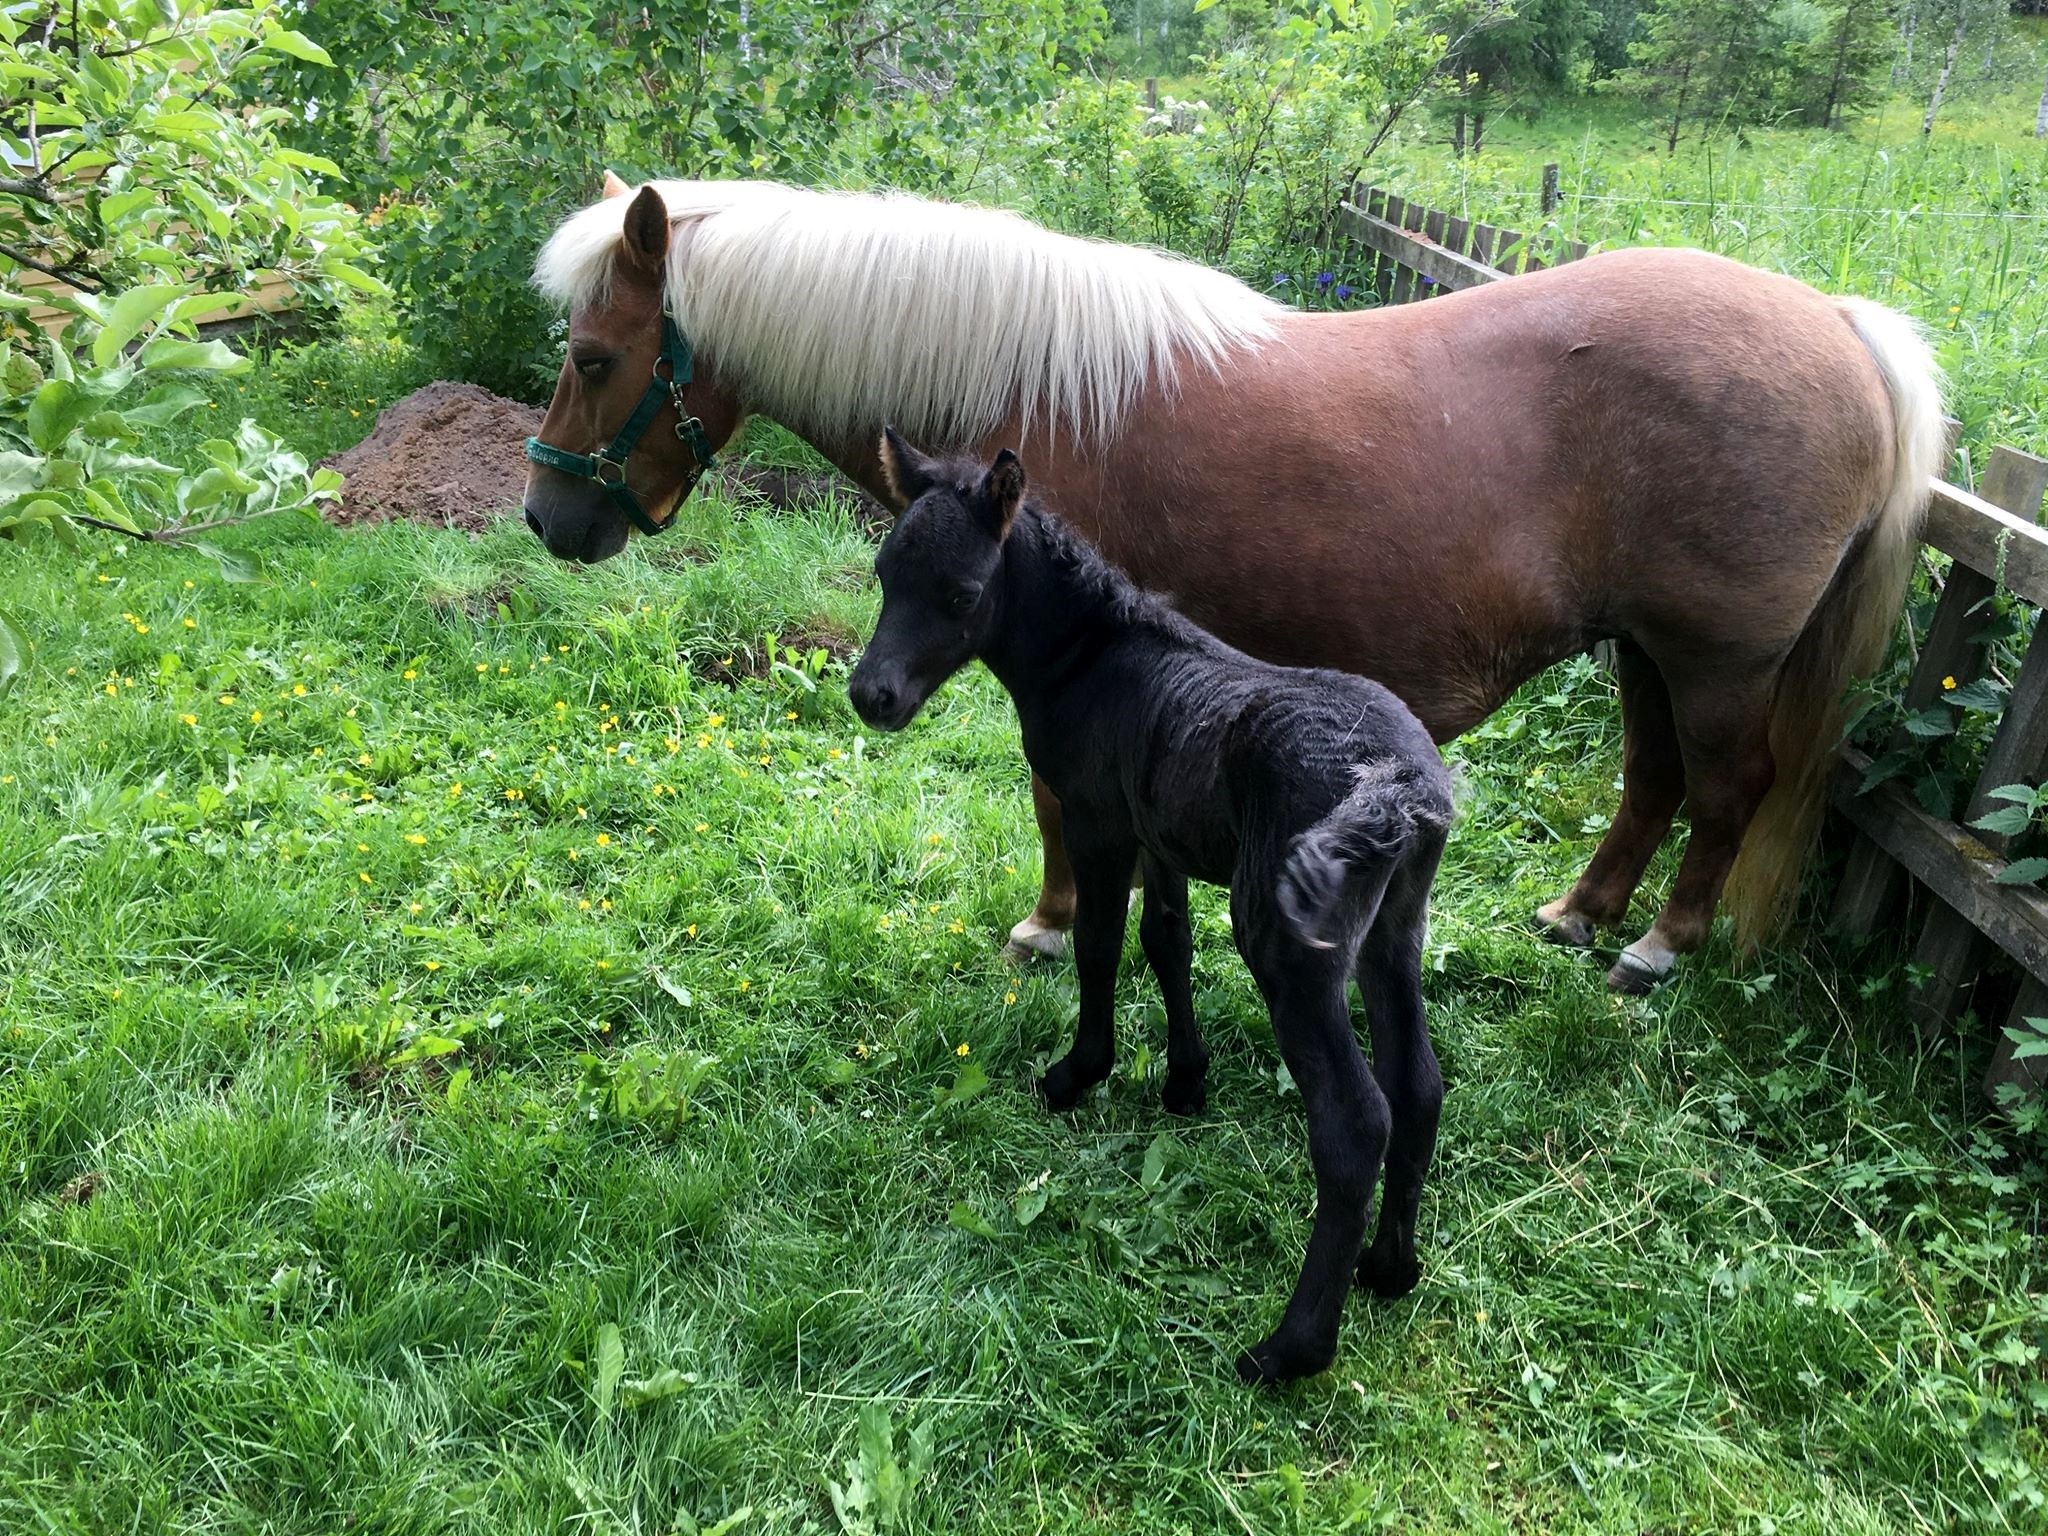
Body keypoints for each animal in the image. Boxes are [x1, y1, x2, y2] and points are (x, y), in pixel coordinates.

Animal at [524, 177, 1933, 999]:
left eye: (592, 357)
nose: (545, 519)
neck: (1030, 385)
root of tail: (1836, 323)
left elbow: (1052, 803)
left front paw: (1051, 926)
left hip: (1716, 662)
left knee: (1724, 794)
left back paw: (1655, 947)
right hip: (1642, 648)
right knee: (1651, 781)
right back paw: (1580, 917)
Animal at [847, 430, 1458, 1384]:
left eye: (962, 594)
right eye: (883, 574)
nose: (871, 696)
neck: (1096, 658)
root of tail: (1397, 785)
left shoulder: (1097, 823)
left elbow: (1099, 945)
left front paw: (1077, 1073)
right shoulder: (1157, 833)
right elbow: (1166, 941)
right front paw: (1183, 1082)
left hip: (1290, 941)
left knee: (1356, 1123)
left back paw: (1291, 1348)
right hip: (1393, 930)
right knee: (1420, 1084)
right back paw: (1390, 1269)